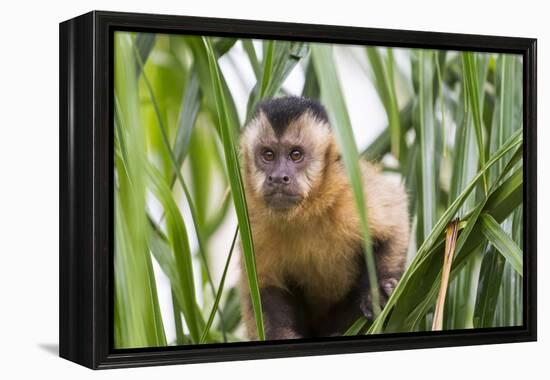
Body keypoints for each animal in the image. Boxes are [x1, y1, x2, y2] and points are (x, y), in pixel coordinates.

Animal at [239, 95, 412, 342]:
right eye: (268, 155)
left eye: (296, 155)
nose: (278, 177)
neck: (306, 212)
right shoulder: (253, 222)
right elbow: (264, 287)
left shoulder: (350, 192)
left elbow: (394, 222)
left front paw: (377, 290)